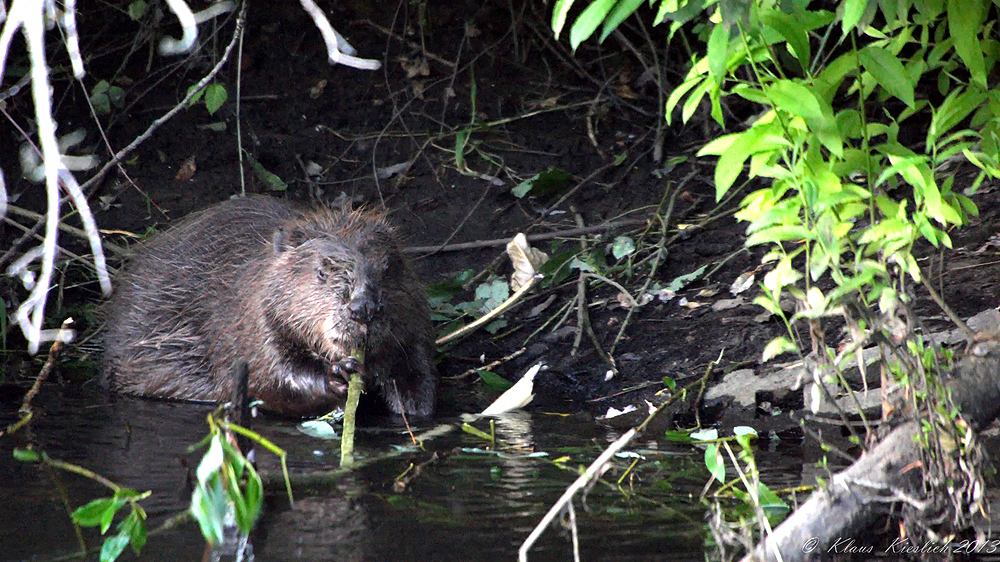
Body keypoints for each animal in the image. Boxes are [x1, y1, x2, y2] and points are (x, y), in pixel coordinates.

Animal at [100, 197, 438, 416]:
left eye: (389, 269)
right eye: (321, 272)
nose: (363, 309)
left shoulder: (416, 320)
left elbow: (418, 368)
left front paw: (412, 402)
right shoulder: (249, 319)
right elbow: (269, 379)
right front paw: (338, 374)